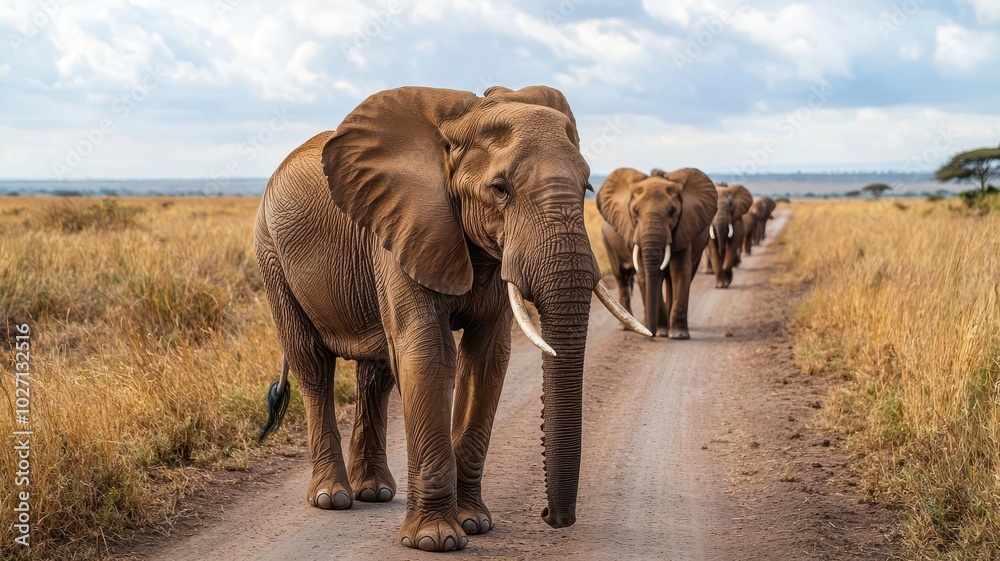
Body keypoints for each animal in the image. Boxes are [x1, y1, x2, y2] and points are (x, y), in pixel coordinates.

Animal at [253, 85, 648, 552]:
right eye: (500, 189)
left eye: (587, 186)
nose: (551, 517)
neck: (463, 119)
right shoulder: (404, 226)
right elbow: (427, 351)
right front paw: (436, 540)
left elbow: (487, 358)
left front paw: (474, 523)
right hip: (271, 254)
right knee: (313, 366)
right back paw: (332, 498)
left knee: (376, 372)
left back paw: (374, 491)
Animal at [596, 167, 717, 338]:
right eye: (635, 211)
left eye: (672, 211)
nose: (651, 334)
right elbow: (647, 273)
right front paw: (661, 331)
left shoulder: (684, 227)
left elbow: (680, 271)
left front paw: (678, 335)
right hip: (607, 241)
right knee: (621, 276)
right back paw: (626, 327)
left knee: (676, 277)